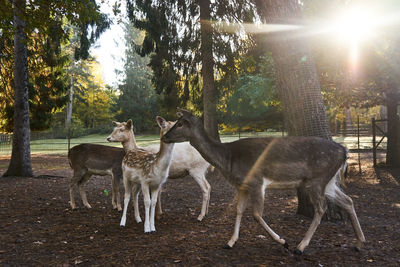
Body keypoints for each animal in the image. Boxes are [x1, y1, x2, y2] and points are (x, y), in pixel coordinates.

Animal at [162, 109, 366, 255]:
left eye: (179, 123)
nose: (164, 137)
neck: (228, 159)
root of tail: (344, 151)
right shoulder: (242, 186)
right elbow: (239, 210)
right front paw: (230, 242)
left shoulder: (257, 182)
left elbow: (256, 214)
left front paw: (283, 241)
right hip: (329, 182)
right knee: (348, 201)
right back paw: (359, 242)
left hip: (317, 179)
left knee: (321, 208)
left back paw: (300, 246)